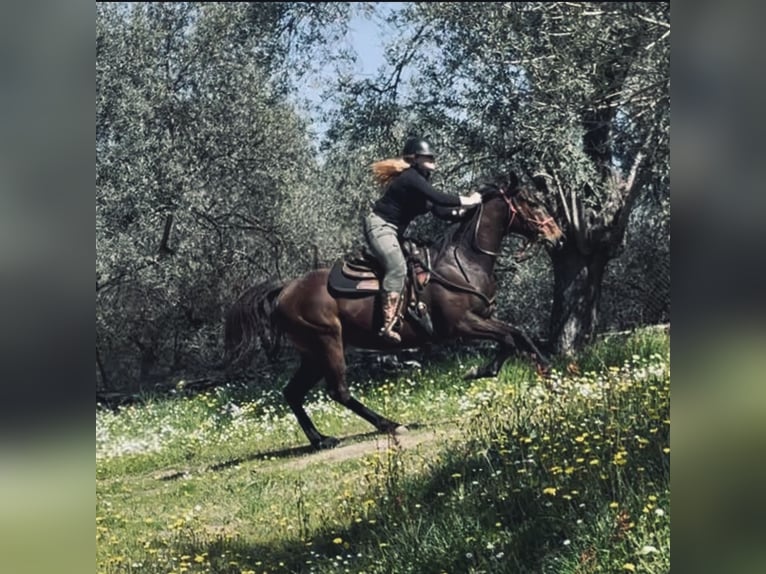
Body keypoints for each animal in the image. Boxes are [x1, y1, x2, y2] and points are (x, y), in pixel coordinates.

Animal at [224, 175, 565, 450]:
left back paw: (321, 440)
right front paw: (479, 371)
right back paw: (390, 424)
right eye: (532, 202)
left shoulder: (485, 317)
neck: (464, 261)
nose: (558, 237)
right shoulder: (462, 324)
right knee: (338, 391)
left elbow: (518, 335)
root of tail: (285, 289)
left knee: (293, 393)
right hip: (327, 343)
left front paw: (554, 377)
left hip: (312, 353)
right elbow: (507, 339)